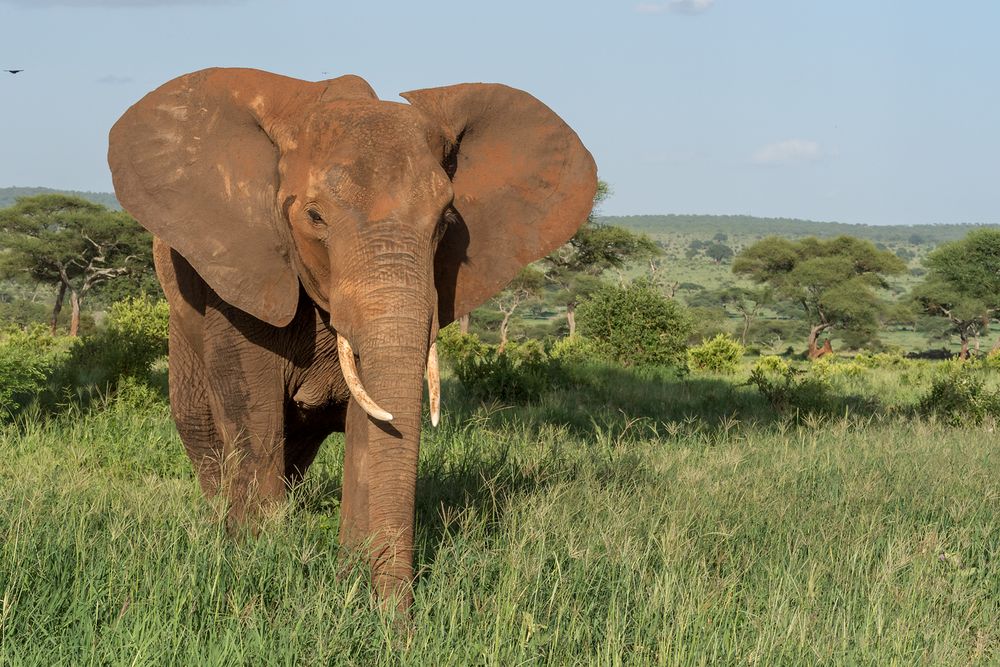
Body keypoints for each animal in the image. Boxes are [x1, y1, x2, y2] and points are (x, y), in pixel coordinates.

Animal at [106, 68, 596, 612]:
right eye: (315, 217)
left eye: (447, 221)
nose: (401, 622)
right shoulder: (244, 269)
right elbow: (253, 416)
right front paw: (259, 564)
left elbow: (371, 424)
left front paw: (355, 593)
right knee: (201, 426)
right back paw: (221, 530)